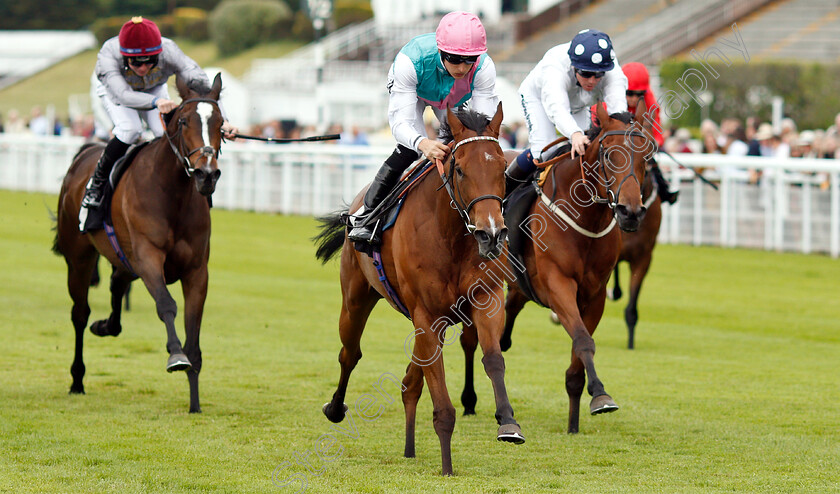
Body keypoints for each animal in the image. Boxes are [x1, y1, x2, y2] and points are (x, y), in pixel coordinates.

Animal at [53, 73, 226, 412]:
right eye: (183, 120)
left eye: (221, 123)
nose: (207, 174)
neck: (172, 194)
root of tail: (83, 154)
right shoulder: (148, 258)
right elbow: (167, 305)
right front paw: (176, 356)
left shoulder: (197, 270)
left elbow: (194, 330)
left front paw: (194, 402)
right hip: (79, 258)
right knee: (79, 314)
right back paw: (77, 379)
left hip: (122, 258)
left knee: (116, 285)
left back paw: (106, 326)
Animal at [316, 103, 524, 474]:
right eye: (460, 170)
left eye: (502, 167)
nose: (490, 234)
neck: (451, 234)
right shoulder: (426, 316)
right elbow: (440, 399)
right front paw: (447, 466)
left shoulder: (484, 300)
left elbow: (493, 359)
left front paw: (508, 423)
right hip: (355, 299)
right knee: (349, 353)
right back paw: (336, 408)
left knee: (408, 384)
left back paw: (409, 448)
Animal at [462, 103, 652, 432]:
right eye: (607, 154)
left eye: (646, 156)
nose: (630, 212)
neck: (586, 220)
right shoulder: (558, 284)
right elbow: (582, 339)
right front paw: (601, 394)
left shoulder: (595, 295)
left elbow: (580, 347)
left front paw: (576, 416)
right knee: (470, 340)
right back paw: (469, 400)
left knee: (507, 318)